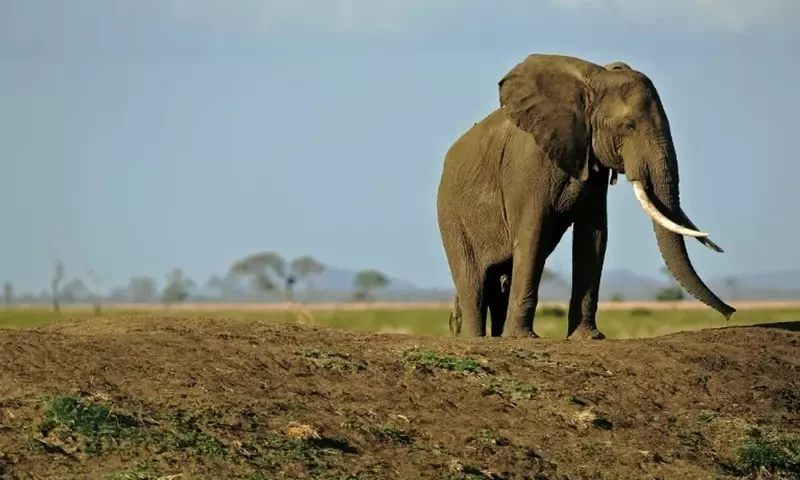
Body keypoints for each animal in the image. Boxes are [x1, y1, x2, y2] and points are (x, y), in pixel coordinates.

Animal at [436, 53, 735, 339]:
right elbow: (533, 234)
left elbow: (593, 236)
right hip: (450, 215)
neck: (593, 81)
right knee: (473, 280)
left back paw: (496, 336)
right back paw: (478, 338)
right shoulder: (528, 165)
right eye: (629, 126)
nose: (730, 312)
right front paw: (523, 338)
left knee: (500, 279)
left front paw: (589, 338)